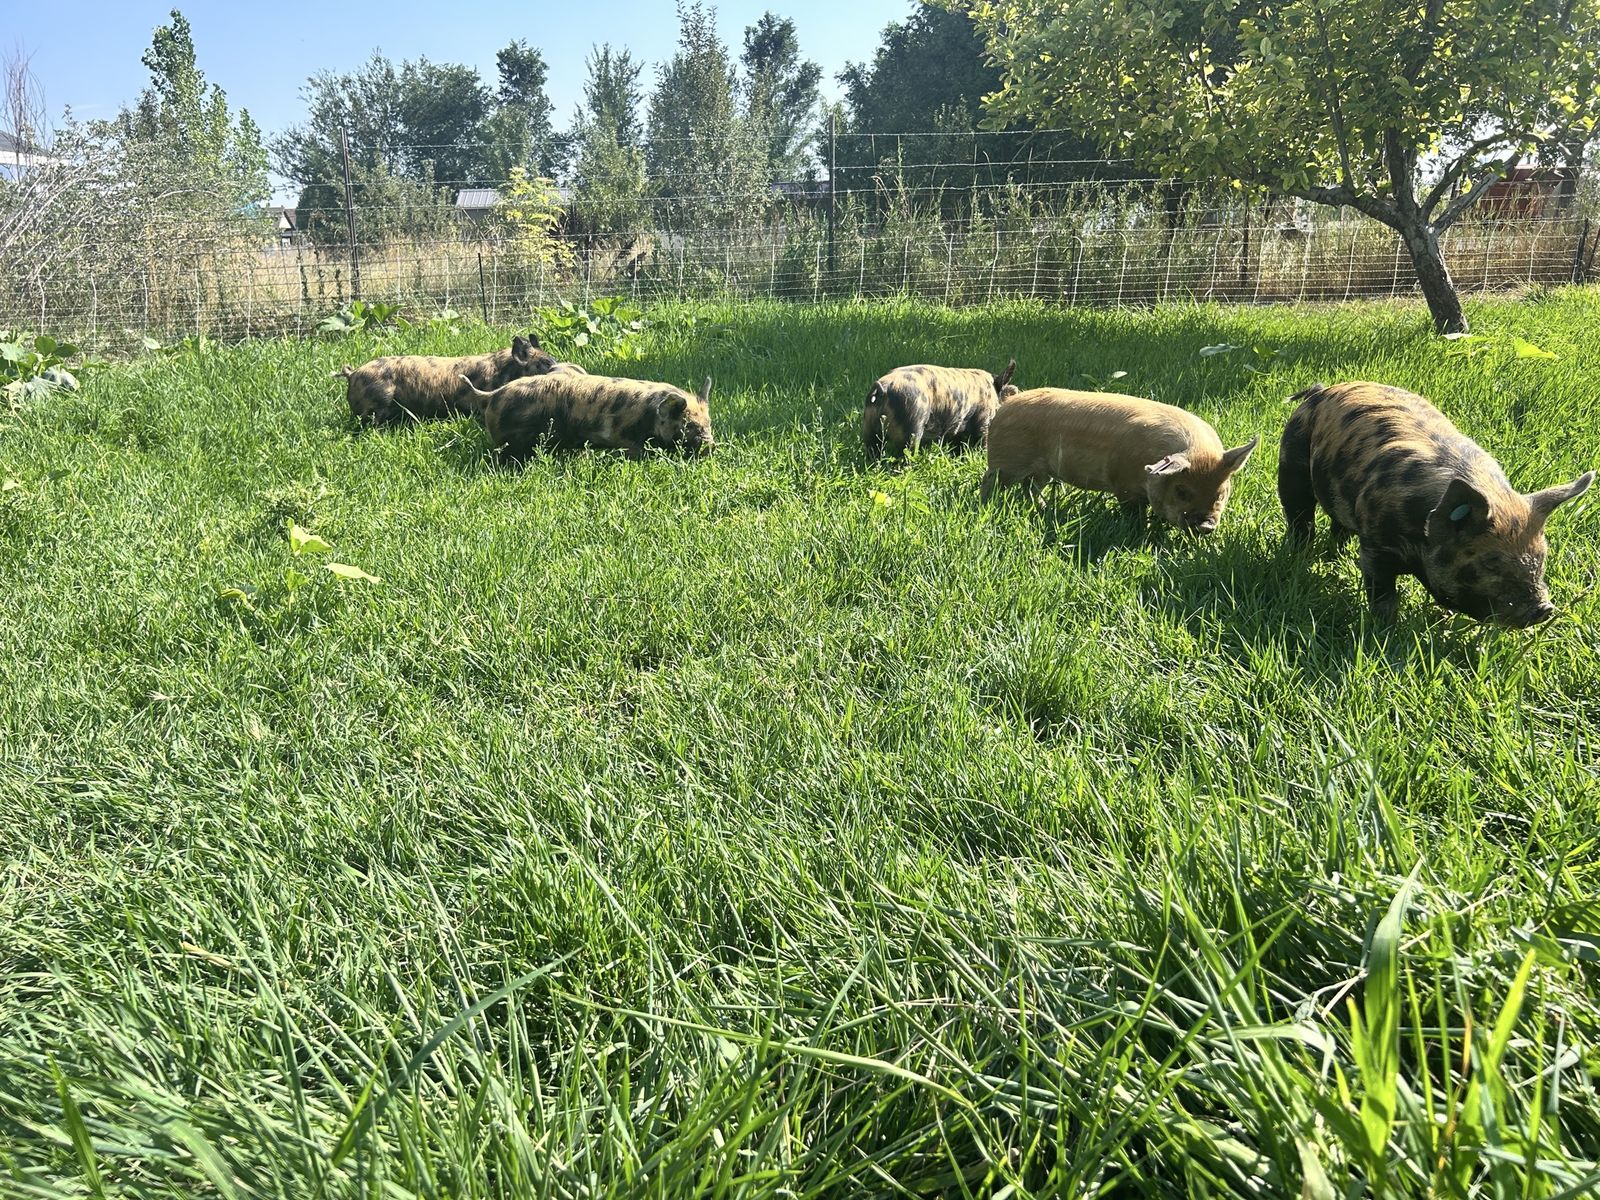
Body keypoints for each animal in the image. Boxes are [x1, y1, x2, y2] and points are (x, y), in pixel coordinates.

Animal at [467, 371, 715, 462]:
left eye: (708, 423)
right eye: (689, 425)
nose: (711, 444)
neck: (650, 416)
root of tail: (492, 395)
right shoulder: (630, 439)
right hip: (511, 442)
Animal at [863, 359, 1018, 460]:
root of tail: (882, 389)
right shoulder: (983, 418)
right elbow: (981, 439)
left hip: (869, 428)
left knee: (872, 448)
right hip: (911, 424)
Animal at [979, 387, 1259, 533]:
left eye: (1220, 493)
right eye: (1181, 491)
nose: (1206, 526)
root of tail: (1008, 402)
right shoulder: (1124, 485)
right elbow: (1132, 512)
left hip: (1041, 472)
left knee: (1030, 488)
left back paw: (1044, 508)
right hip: (1005, 462)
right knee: (989, 480)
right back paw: (987, 504)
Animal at [1279, 381, 1593, 625]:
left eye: (1542, 556)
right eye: (1490, 562)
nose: (1544, 609)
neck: (1421, 535)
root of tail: (1320, 391)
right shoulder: (1376, 546)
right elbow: (1382, 592)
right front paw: (1386, 630)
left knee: (1338, 525)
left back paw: (1335, 557)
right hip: (1291, 464)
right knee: (1300, 516)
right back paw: (1299, 556)